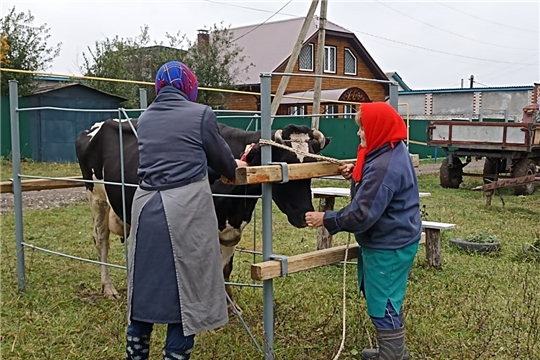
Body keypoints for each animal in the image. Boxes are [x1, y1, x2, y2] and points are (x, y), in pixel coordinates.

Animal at [75, 118, 330, 310]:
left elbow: (225, 268)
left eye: (312, 165)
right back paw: (108, 288)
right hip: (96, 198)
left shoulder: (231, 228)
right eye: (282, 164)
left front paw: (230, 305)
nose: (304, 214)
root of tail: (96, 126)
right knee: (101, 240)